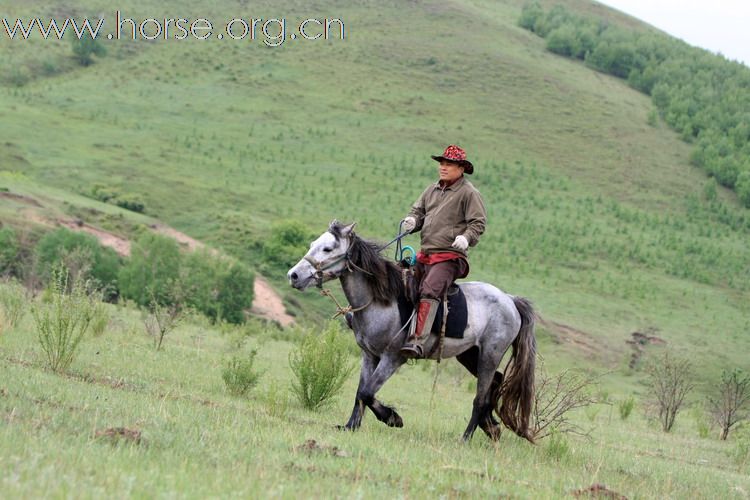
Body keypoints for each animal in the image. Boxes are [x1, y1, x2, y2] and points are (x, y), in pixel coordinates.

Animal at [290, 220, 540, 442]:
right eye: (313, 243)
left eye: (328, 248)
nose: (293, 276)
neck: (381, 299)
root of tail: (510, 300)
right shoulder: (368, 355)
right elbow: (360, 391)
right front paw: (350, 426)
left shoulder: (392, 358)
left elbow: (367, 393)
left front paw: (393, 418)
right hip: (469, 355)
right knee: (495, 383)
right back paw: (491, 427)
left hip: (490, 354)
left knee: (480, 397)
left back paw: (466, 438)